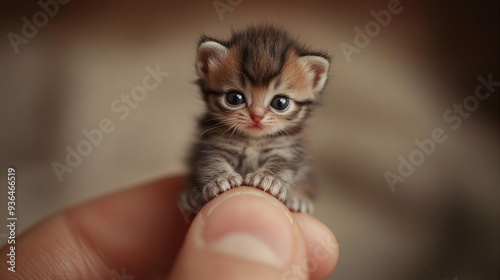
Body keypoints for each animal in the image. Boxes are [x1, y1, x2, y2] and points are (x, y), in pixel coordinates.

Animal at [180, 25, 332, 215]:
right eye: (234, 98)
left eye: (280, 103)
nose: (257, 116)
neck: (253, 140)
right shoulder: (212, 144)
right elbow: (212, 161)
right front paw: (221, 179)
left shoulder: (287, 149)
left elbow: (282, 164)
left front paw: (268, 179)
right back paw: (191, 198)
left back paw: (299, 199)